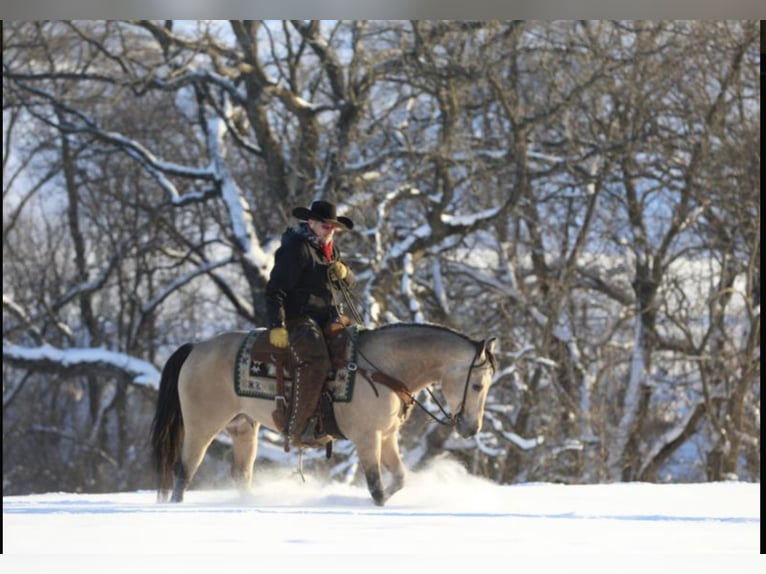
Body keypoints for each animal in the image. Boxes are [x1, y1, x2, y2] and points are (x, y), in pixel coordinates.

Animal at [150, 324, 498, 508]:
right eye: (478, 384)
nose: (471, 428)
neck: (383, 369)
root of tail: (196, 348)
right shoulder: (367, 438)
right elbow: (376, 485)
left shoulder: (386, 436)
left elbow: (399, 478)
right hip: (202, 426)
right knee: (185, 470)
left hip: (244, 428)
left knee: (241, 475)